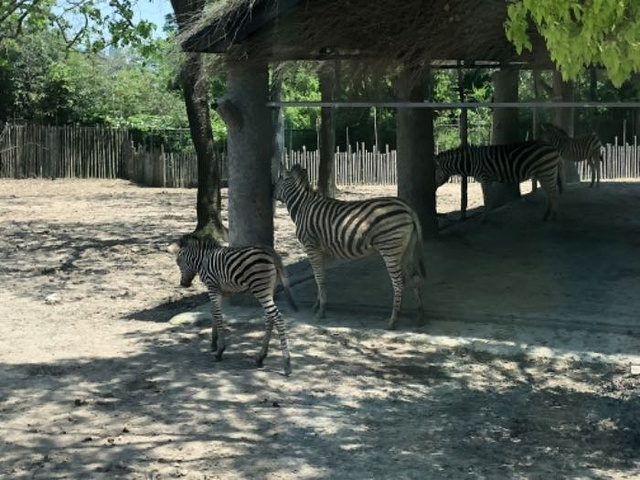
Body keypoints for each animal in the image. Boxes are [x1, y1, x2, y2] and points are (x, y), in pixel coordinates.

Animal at [172, 234, 298, 376]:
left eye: (178, 262)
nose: (183, 284)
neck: (204, 260)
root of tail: (270, 252)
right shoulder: (220, 290)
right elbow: (213, 312)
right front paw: (213, 343)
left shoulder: (212, 286)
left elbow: (217, 315)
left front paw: (220, 350)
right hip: (270, 289)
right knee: (270, 318)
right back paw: (261, 357)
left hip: (260, 288)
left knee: (277, 317)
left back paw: (287, 364)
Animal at [274, 162, 424, 330]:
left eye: (278, 179)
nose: (271, 194)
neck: (302, 206)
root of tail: (408, 209)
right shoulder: (322, 250)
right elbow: (322, 277)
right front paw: (317, 305)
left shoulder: (311, 247)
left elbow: (319, 278)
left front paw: (321, 311)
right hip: (406, 249)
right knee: (414, 278)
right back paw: (419, 317)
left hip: (390, 247)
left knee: (398, 282)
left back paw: (393, 320)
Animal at [436, 139, 564, 221]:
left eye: (434, 172)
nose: (433, 189)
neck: (471, 162)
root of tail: (553, 149)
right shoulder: (489, 180)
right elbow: (490, 198)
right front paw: (487, 215)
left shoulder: (485, 178)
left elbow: (486, 198)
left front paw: (483, 219)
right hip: (543, 173)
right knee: (550, 193)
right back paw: (546, 215)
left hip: (546, 171)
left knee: (554, 193)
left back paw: (554, 216)